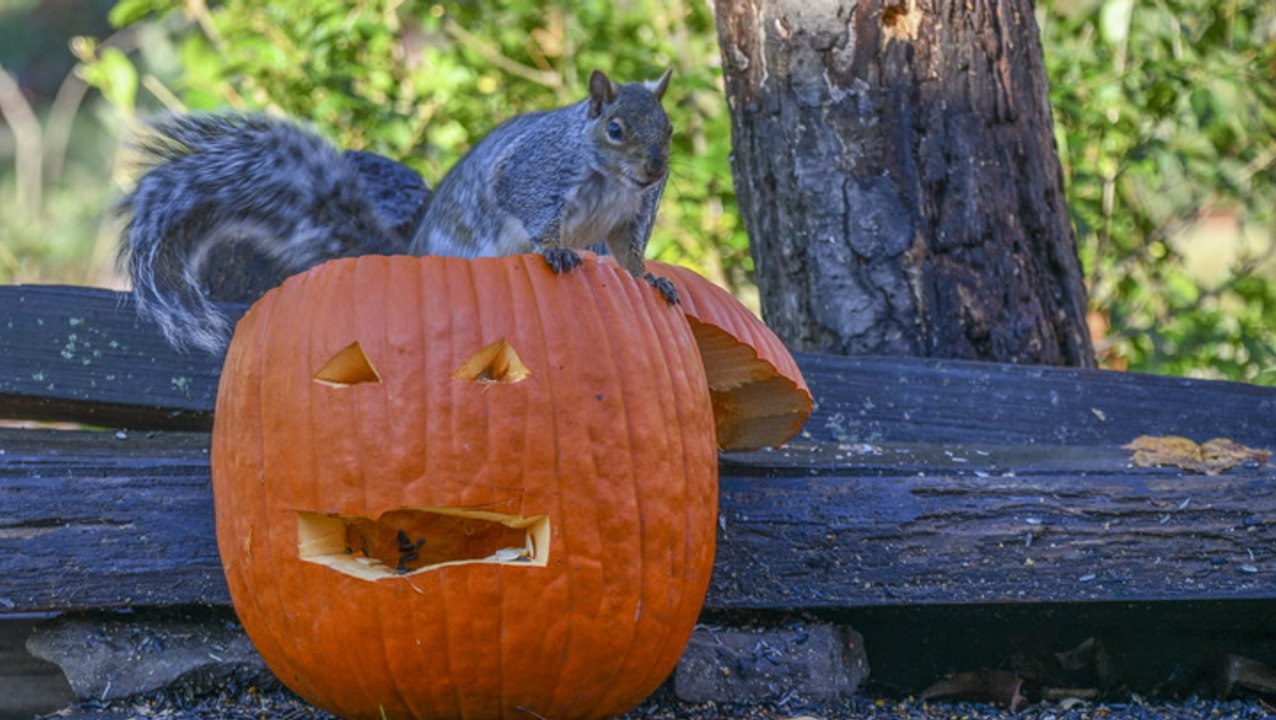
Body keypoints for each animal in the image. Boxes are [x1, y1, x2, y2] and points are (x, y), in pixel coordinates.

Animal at [118, 68, 677, 353]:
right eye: (615, 130)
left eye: (668, 128)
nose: (655, 170)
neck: (612, 179)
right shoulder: (534, 174)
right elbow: (535, 214)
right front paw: (557, 251)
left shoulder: (633, 214)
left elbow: (628, 254)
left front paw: (650, 279)